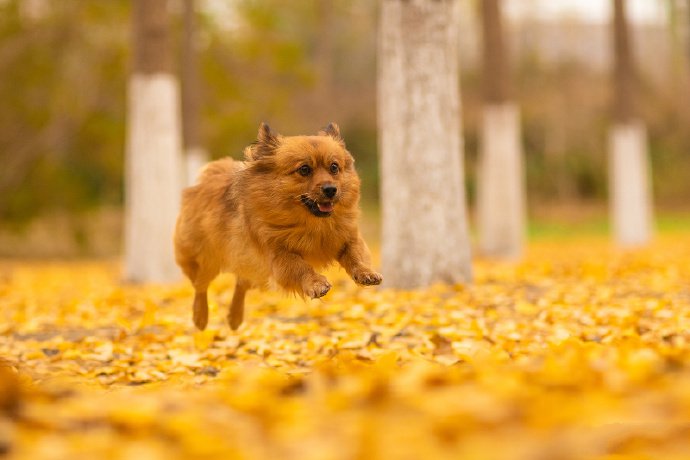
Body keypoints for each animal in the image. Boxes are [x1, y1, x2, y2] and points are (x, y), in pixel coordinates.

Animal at [170, 122, 378, 330]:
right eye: (304, 169)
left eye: (334, 167)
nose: (331, 189)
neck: (313, 224)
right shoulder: (279, 256)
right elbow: (301, 267)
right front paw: (316, 283)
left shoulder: (346, 238)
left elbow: (356, 255)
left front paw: (366, 273)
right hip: (205, 261)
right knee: (200, 286)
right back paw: (200, 317)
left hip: (248, 263)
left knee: (241, 283)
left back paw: (235, 317)